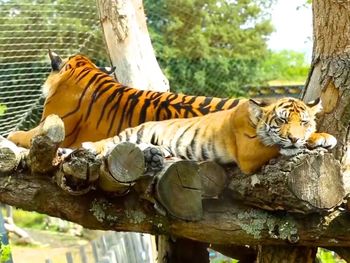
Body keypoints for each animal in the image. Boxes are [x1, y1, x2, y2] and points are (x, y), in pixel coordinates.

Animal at [83, 97, 338, 175]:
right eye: (282, 121)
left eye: (303, 122)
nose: (294, 138)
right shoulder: (248, 152)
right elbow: (275, 145)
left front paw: (323, 136)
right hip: (137, 130)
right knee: (112, 142)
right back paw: (90, 147)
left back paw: (156, 153)